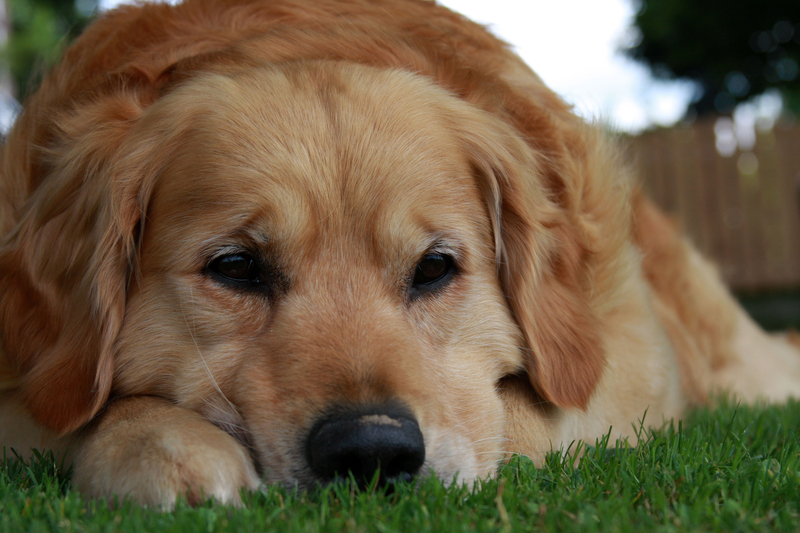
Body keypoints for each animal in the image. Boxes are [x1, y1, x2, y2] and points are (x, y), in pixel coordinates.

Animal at [1, 0, 800, 508]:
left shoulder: (627, 360)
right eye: (235, 267)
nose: (370, 451)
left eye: (435, 268)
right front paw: (154, 442)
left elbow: (514, 420)